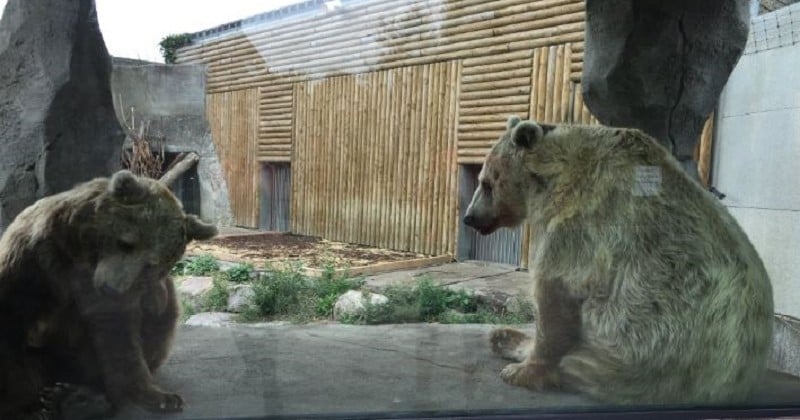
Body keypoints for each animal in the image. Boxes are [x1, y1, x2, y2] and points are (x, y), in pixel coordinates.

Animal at [0, 169, 219, 418]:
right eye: (126, 243)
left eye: (151, 265)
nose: (111, 288)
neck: (81, 259)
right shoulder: (34, 262)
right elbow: (12, 326)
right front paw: (23, 404)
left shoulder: (114, 299)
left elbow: (118, 340)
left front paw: (161, 397)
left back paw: (78, 398)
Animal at [462, 116, 776, 406]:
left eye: (486, 183)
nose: (469, 217)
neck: (560, 176)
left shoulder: (582, 226)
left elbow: (556, 293)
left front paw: (520, 372)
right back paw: (504, 337)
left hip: (649, 356)